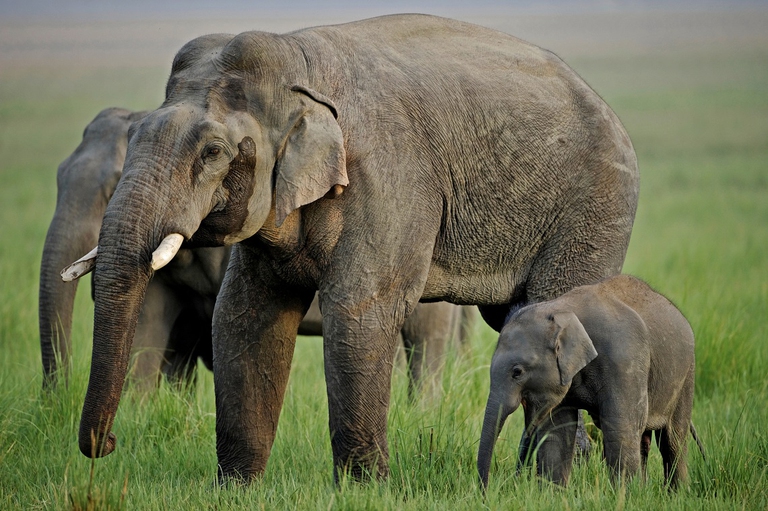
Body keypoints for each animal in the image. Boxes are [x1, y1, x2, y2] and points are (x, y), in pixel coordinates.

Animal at [477, 275, 697, 489]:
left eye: (517, 372)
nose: (486, 492)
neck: (562, 310)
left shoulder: (623, 359)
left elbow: (620, 427)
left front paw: (623, 495)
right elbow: (557, 430)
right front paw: (554, 493)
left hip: (687, 374)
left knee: (673, 439)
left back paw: (675, 493)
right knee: (645, 439)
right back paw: (644, 491)